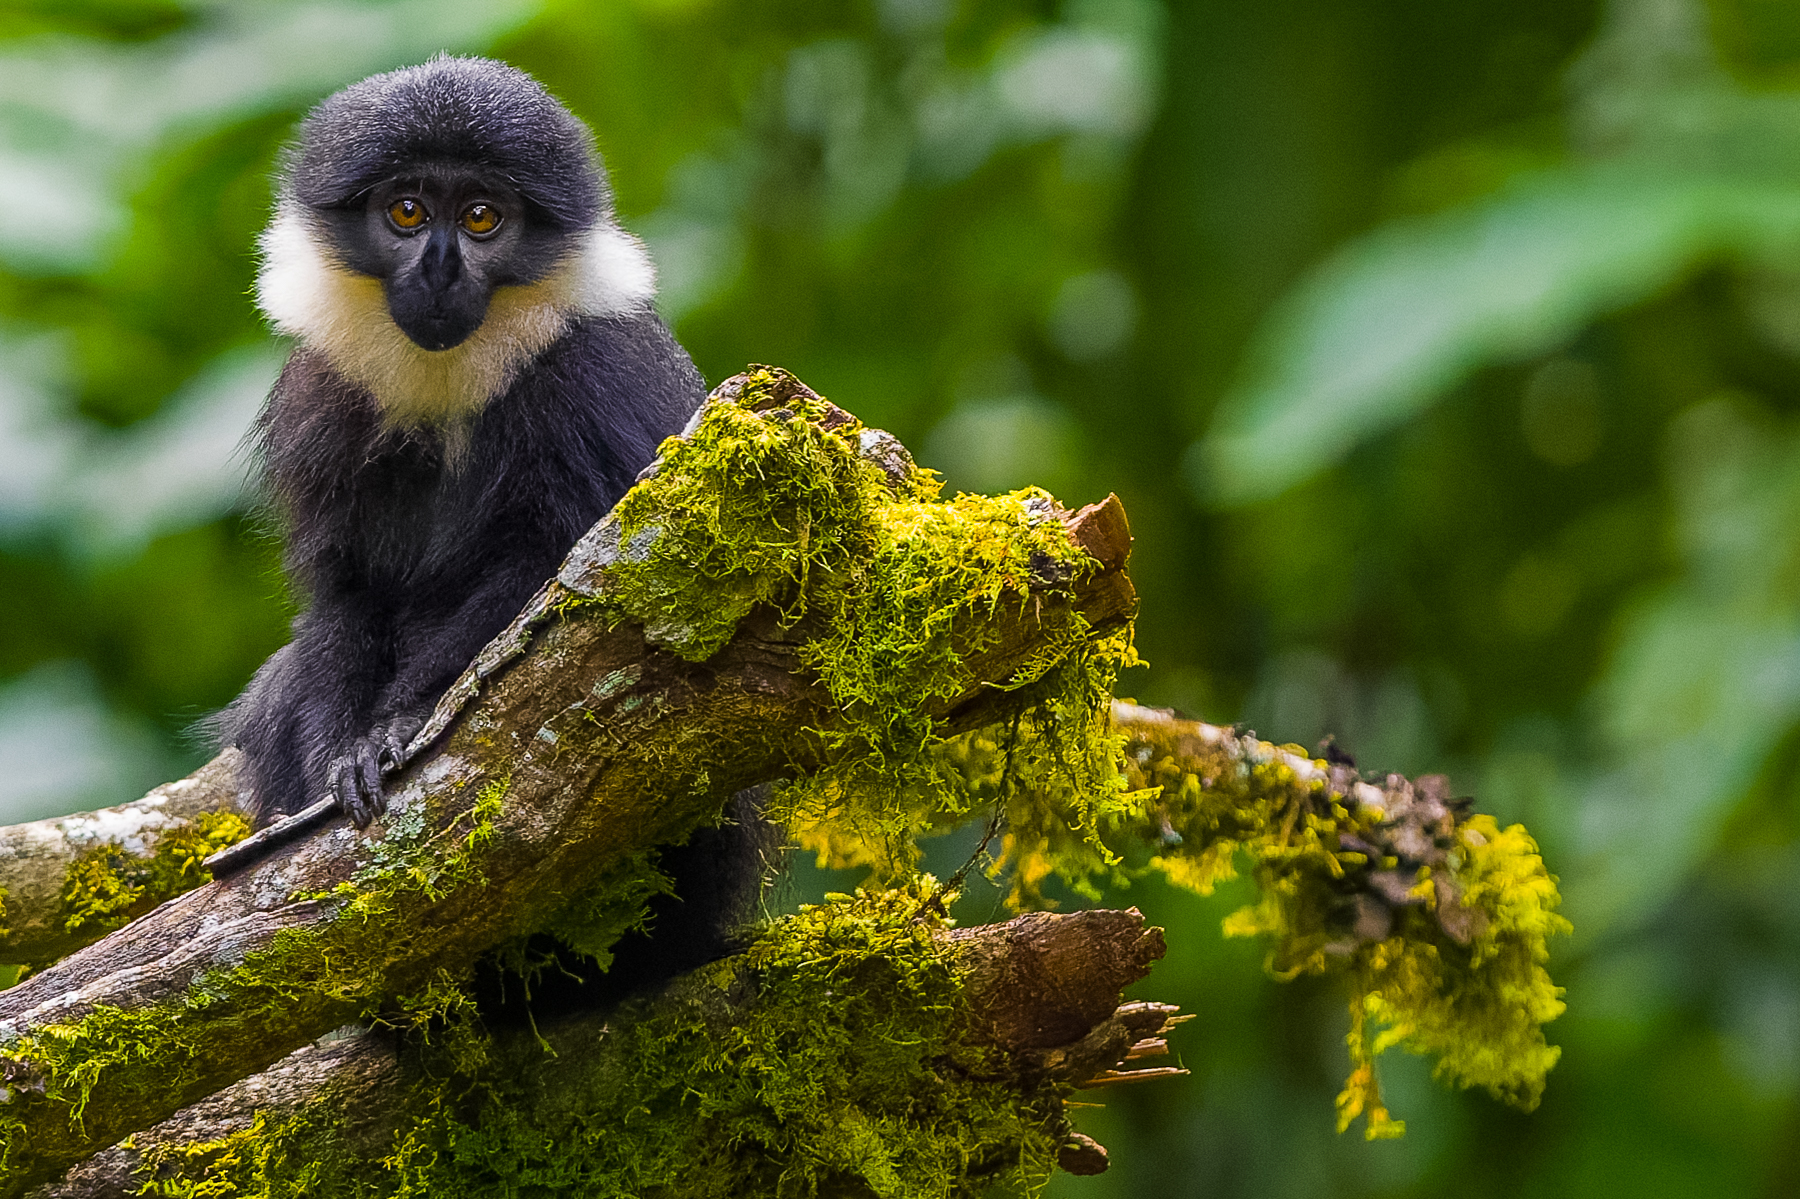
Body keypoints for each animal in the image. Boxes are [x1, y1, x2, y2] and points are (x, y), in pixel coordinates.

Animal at [217, 56, 762, 990]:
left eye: (481, 218)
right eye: (407, 211)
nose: (439, 269)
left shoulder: (595, 377)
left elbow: (567, 586)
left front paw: (397, 727)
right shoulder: (321, 393)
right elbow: (343, 599)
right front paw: (339, 757)